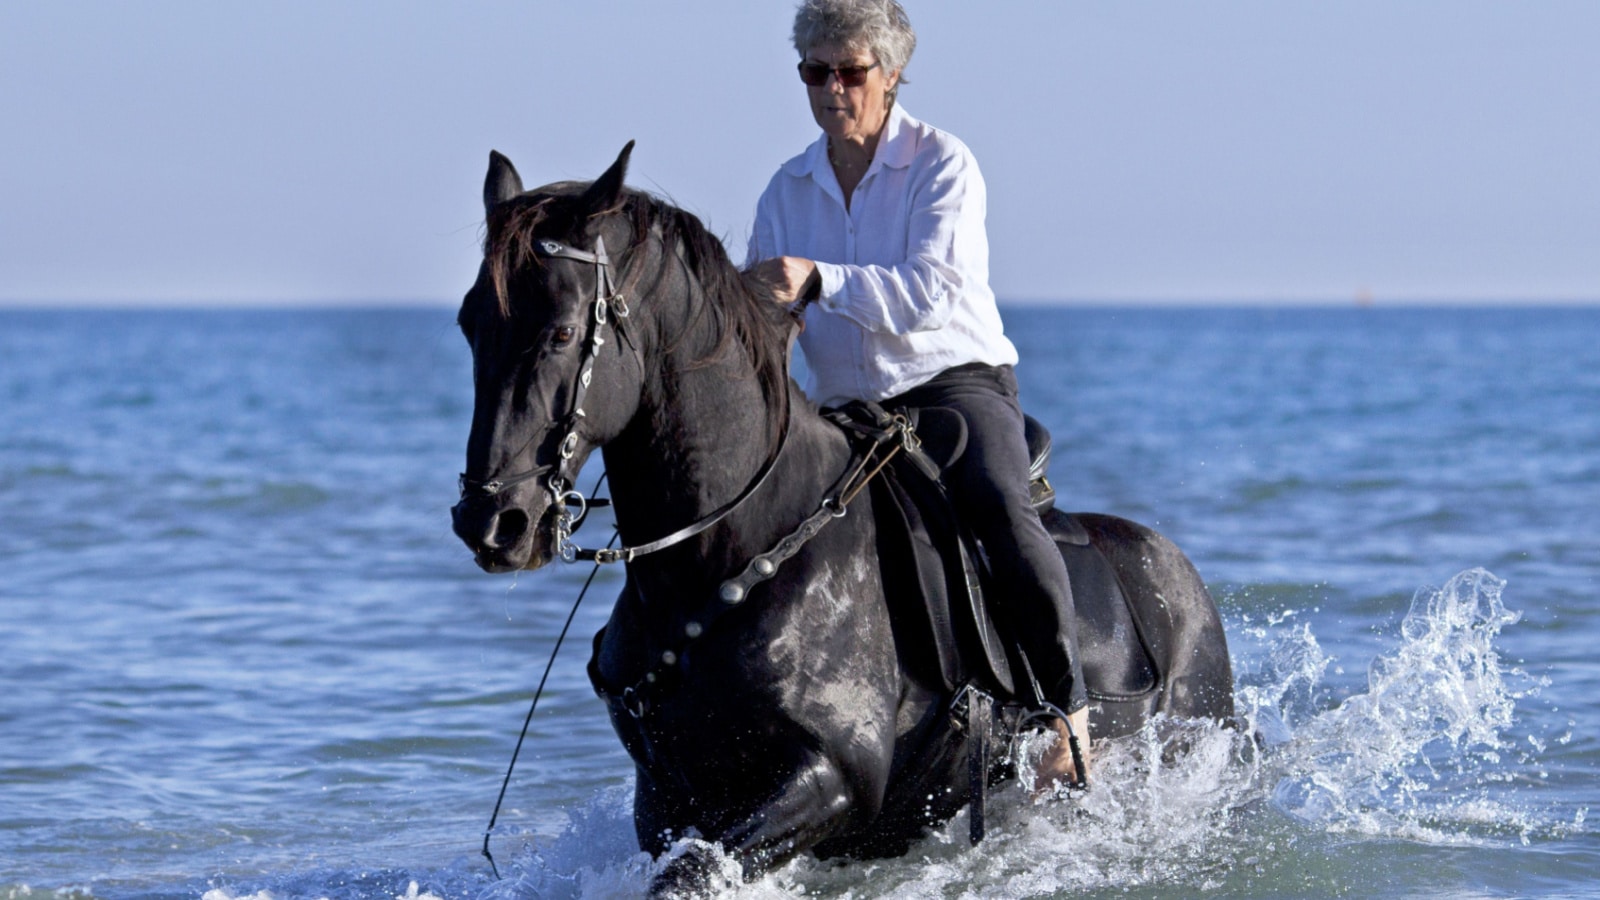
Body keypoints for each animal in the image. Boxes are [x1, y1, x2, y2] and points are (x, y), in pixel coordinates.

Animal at [451, 143, 1235, 883]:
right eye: (468, 325)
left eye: (560, 332)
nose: (492, 521)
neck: (737, 555)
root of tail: (1179, 572)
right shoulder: (670, 798)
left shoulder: (833, 779)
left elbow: (694, 872)